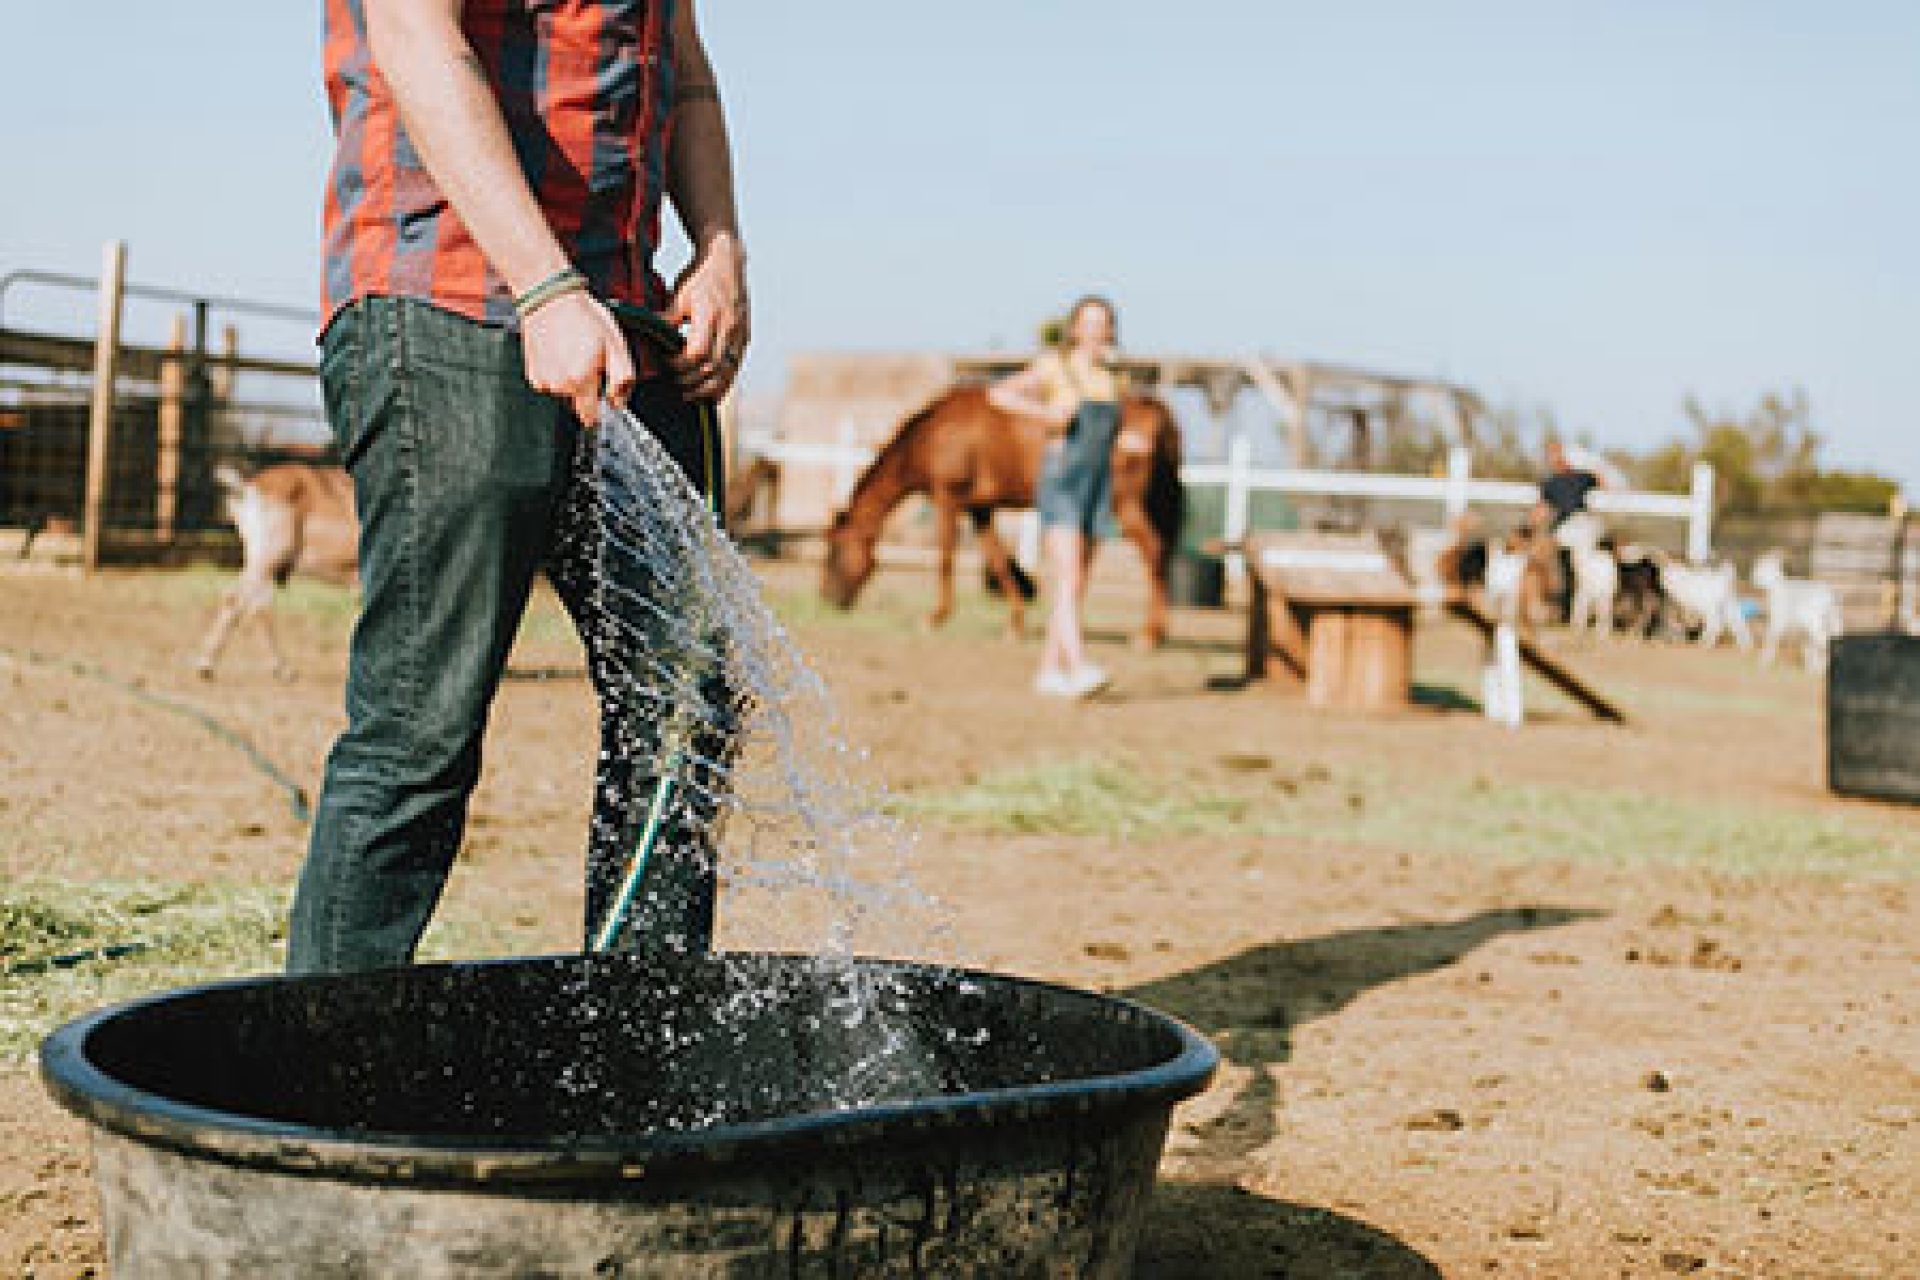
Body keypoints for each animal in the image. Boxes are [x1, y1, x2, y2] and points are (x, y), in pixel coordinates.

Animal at [814, 383, 1182, 644]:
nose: (827, 600)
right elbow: (998, 561)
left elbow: (946, 560)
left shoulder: (947, 498)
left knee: (1153, 551)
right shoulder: (980, 509)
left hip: (1125, 505)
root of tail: (1153, 411)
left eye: (834, 552)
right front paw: (1015, 624)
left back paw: (1149, 635)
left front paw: (935, 618)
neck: (934, 431)